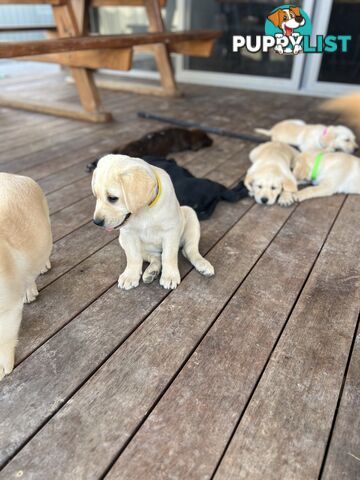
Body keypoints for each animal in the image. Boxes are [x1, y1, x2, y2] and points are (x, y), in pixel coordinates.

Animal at [91, 155, 214, 288]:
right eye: (96, 196)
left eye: (112, 198)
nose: (96, 222)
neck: (144, 210)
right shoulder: (128, 234)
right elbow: (133, 257)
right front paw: (130, 275)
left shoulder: (171, 231)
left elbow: (169, 256)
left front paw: (169, 276)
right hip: (123, 240)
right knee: (155, 257)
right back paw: (152, 272)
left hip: (190, 214)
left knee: (189, 250)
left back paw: (203, 265)